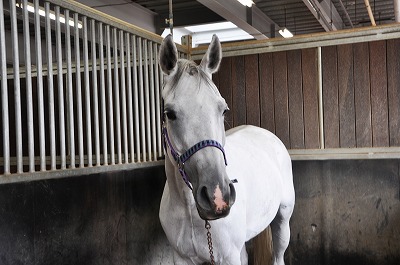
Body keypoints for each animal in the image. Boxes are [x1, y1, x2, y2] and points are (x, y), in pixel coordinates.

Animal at [159, 34, 294, 262]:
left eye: (223, 110)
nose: (217, 197)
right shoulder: (181, 257)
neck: (189, 209)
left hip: (283, 219)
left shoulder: (228, 257)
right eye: (170, 113)